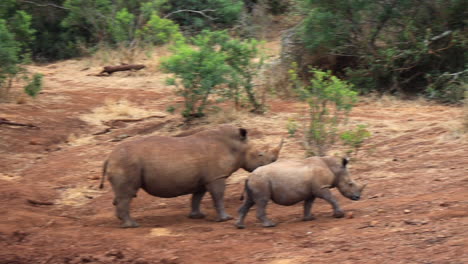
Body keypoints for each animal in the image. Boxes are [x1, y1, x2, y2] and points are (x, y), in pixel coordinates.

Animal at [99, 125, 282, 227]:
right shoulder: (216, 177)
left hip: (123, 162)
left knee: (123, 194)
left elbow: (197, 196)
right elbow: (218, 196)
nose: (271, 164)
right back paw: (132, 226)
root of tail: (108, 157)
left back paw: (123, 222)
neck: (236, 147)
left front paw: (197, 216)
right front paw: (226, 219)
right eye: (260, 155)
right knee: (127, 194)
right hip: (126, 162)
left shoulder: (203, 179)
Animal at [234, 156, 366, 228]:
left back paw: (240, 226)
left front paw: (309, 219)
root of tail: (249, 176)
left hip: (256, 181)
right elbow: (332, 198)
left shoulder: (313, 190)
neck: (335, 169)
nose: (357, 197)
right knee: (262, 201)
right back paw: (270, 225)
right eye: (350, 184)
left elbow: (308, 204)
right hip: (261, 181)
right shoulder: (321, 188)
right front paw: (339, 215)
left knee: (250, 201)